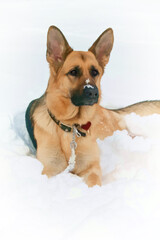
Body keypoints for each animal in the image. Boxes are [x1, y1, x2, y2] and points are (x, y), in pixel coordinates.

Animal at [25, 26, 160, 188]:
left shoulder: (91, 168)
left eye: (95, 72)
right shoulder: (51, 169)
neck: (71, 126)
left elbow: (94, 183)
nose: (93, 92)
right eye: (73, 72)